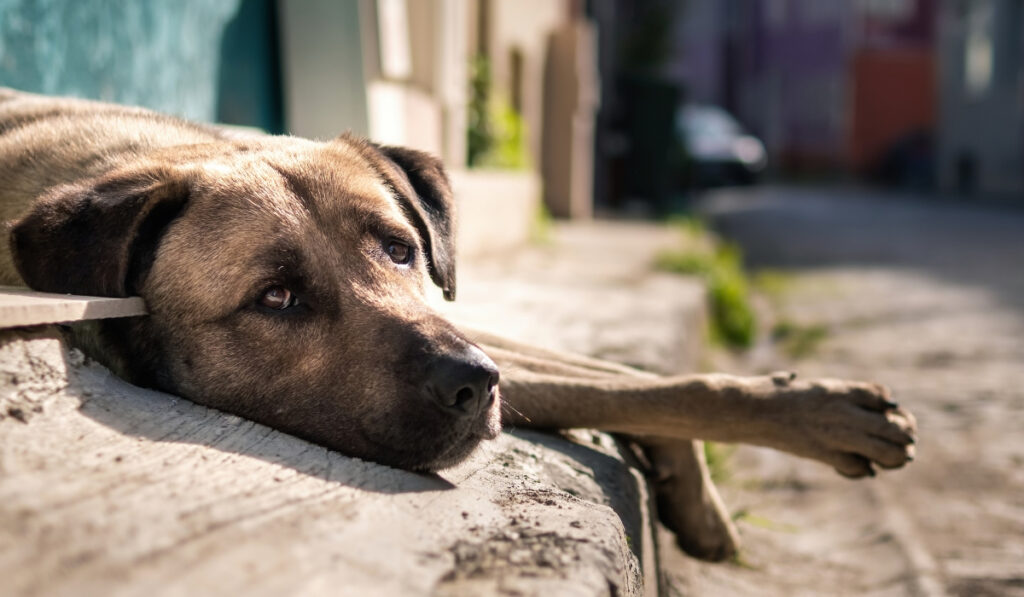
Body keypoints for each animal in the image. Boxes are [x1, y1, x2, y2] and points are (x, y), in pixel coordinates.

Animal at [0, 88, 913, 561]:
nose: (475, 385)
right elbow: (628, 384)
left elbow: (634, 379)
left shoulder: (462, 320)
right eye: (276, 297)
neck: (129, 158)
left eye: (400, 248)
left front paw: (789, 423)